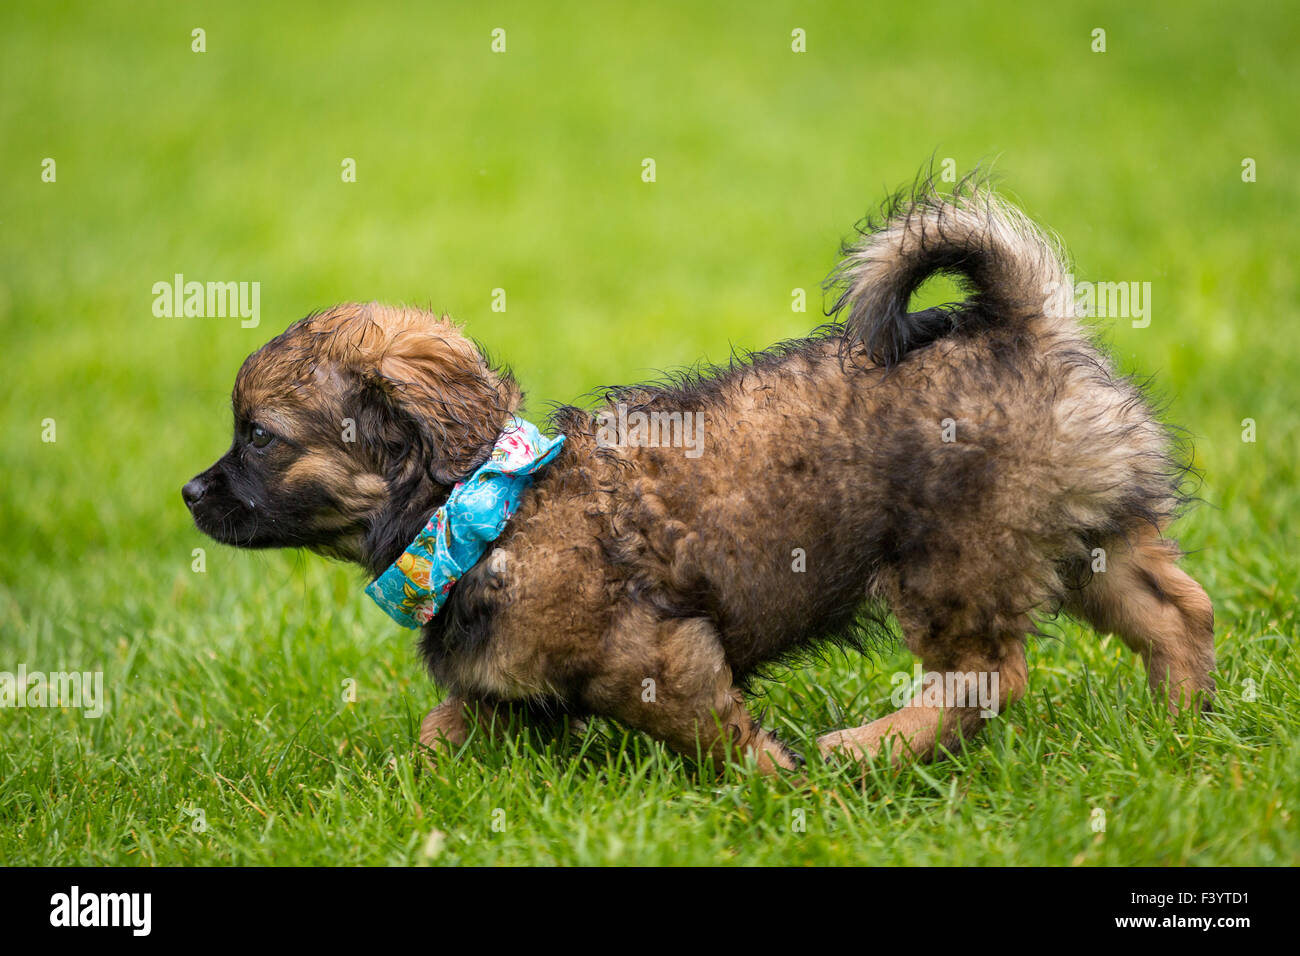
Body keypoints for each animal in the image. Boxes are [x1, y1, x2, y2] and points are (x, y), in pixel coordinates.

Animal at [185, 183, 1216, 775]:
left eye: (260, 438)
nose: (192, 494)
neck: (482, 505)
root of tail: (1025, 325)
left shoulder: (661, 659)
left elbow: (725, 742)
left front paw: (780, 789)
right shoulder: (501, 688)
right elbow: (444, 733)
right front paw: (409, 792)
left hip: (957, 558)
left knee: (989, 675)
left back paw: (869, 751)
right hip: (1085, 536)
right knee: (1177, 610)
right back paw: (1180, 730)